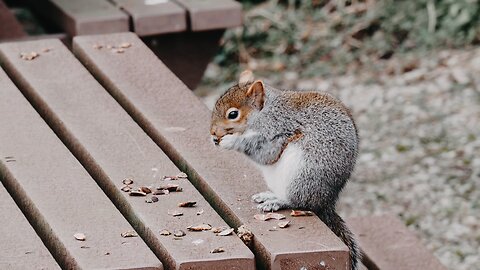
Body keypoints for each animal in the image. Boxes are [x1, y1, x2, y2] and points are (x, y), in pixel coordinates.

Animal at [210, 70, 360, 268]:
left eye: (233, 114)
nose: (213, 132)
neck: (264, 112)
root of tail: (325, 202)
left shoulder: (277, 130)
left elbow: (265, 152)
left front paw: (231, 141)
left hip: (303, 176)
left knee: (299, 201)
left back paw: (278, 202)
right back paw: (270, 196)